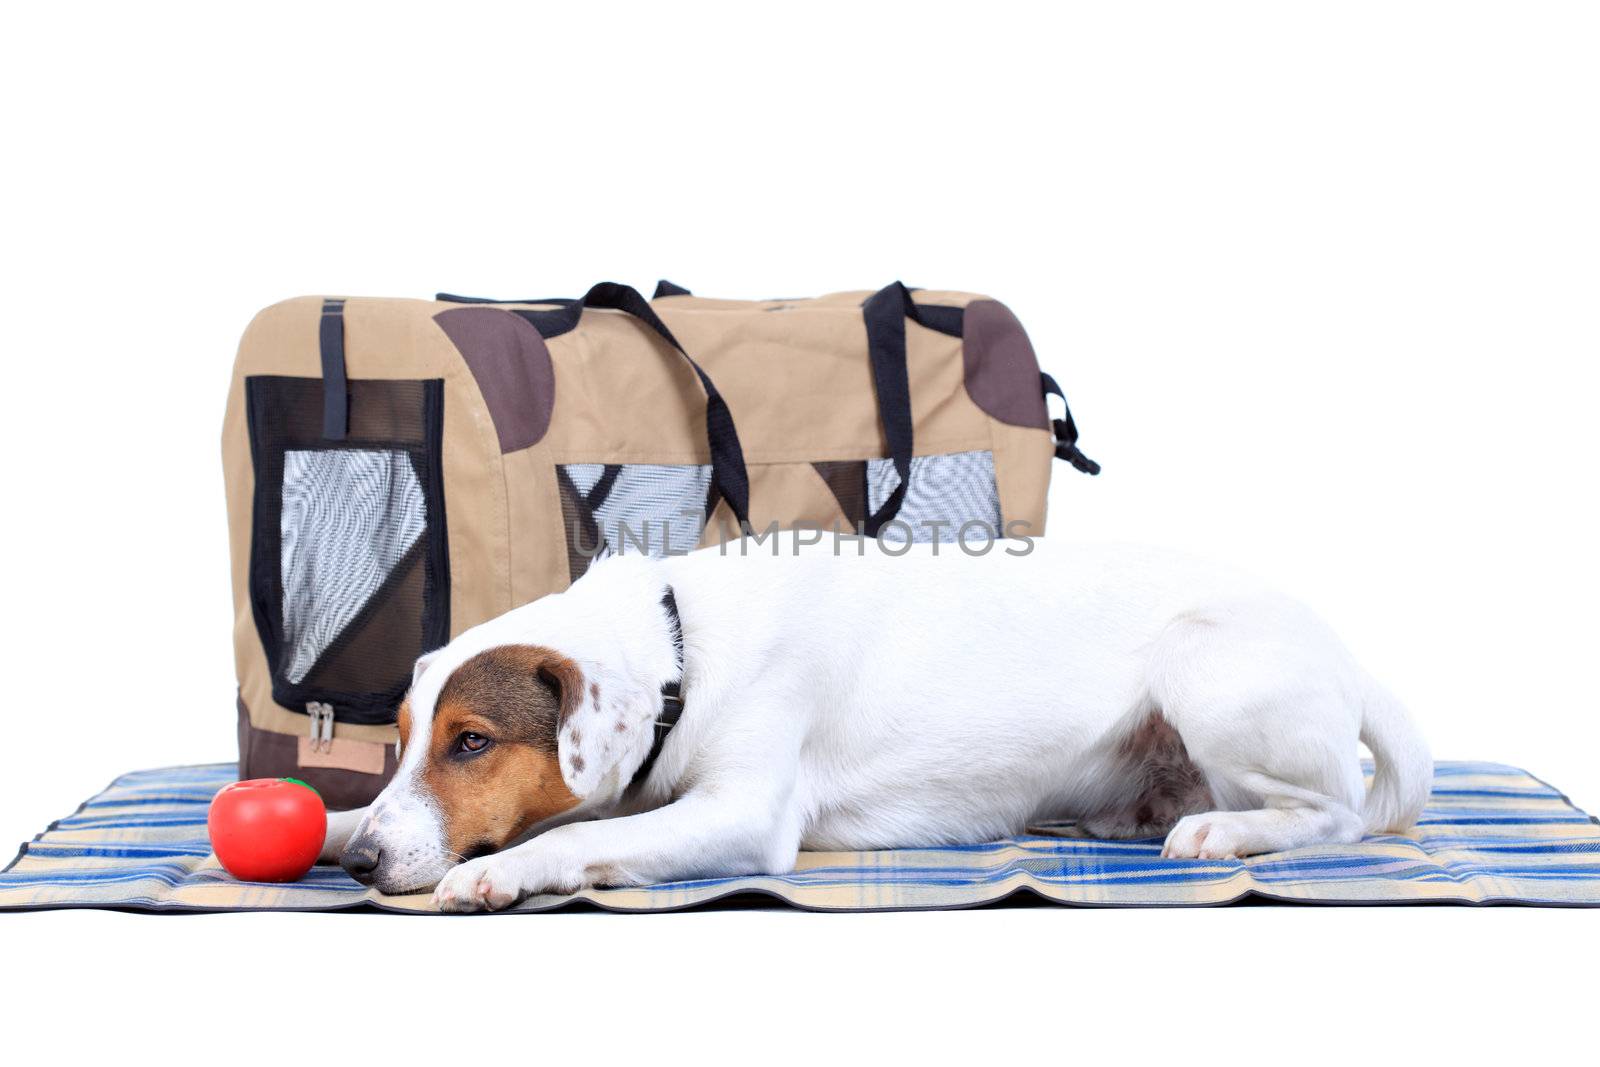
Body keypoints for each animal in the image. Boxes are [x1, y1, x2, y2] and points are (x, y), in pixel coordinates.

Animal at [318, 537, 1433, 915]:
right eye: (407, 733)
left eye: (472, 741)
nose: (366, 867)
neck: (680, 642)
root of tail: (1345, 651)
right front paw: (337, 827)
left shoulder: (742, 813)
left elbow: (575, 837)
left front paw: (494, 872)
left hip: (1207, 667)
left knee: (1336, 813)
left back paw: (1222, 830)